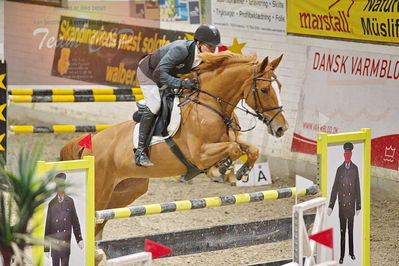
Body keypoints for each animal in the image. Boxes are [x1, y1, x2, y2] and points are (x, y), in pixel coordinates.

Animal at [60, 52, 288, 239]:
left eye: (280, 87)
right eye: (264, 89)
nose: (281, 128)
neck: (211, 104)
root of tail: (88, 144)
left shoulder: (231, 139)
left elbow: (250, 149)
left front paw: (242, 172)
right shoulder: (200, 154)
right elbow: (233, 149)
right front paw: (221, 168)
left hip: (126, 190)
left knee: (101, 218)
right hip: (102, 188)